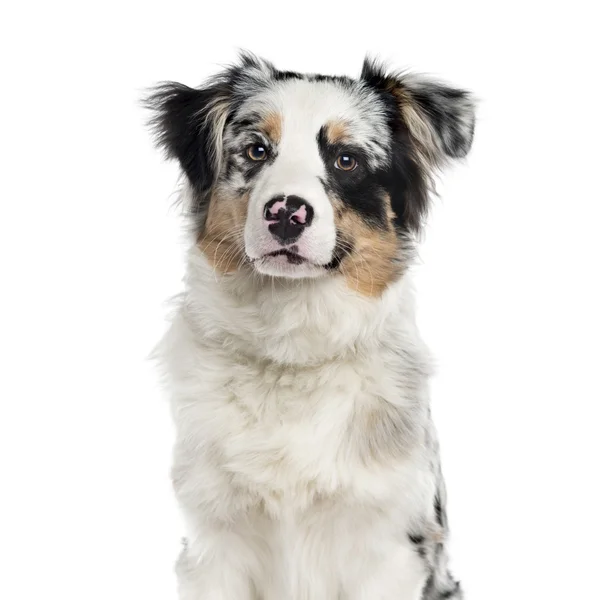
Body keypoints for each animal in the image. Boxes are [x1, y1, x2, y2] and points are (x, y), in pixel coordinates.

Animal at [145, 52, 474, 600]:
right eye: (256, 150)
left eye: (346, 160)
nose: (286, 213)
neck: (292, 348)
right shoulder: (214, 544)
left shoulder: (390, 547)